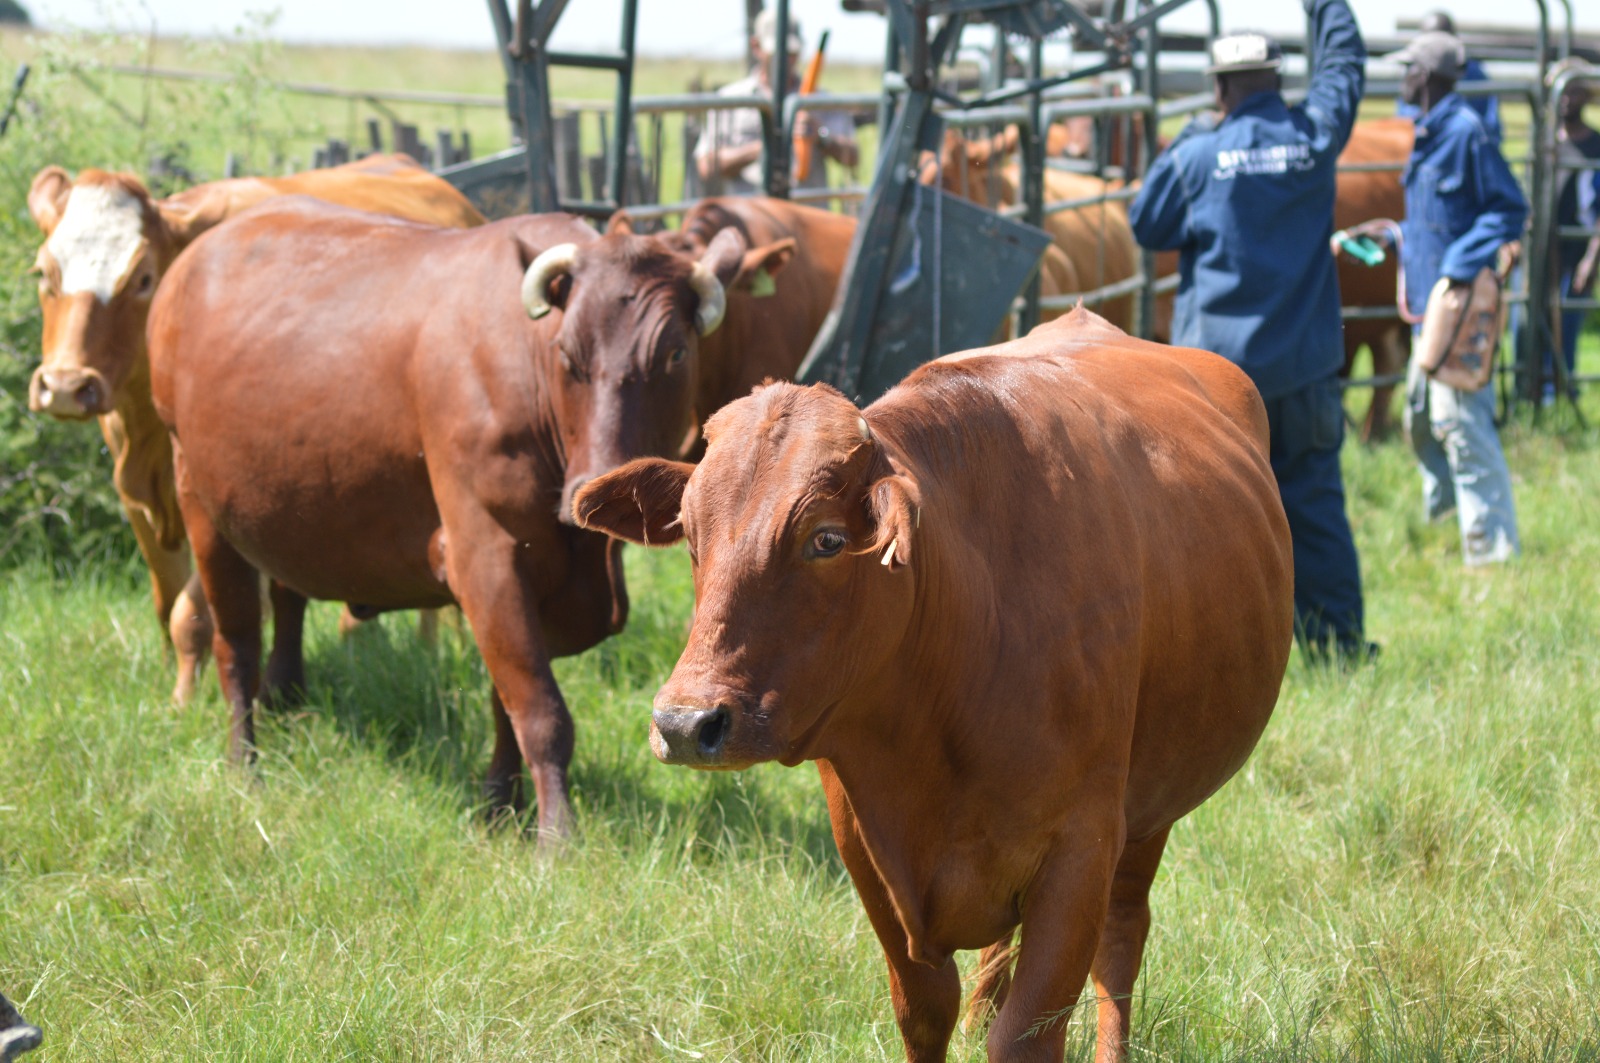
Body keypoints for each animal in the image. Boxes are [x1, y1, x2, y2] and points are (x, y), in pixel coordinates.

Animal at [25, 155, 486, 704]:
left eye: (142, 278)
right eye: (44, 273)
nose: (66, 386)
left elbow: (191, 615)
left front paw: (186, 700)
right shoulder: (137, 497)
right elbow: (165, 602)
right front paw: (174, 682)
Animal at [148, 196, 767, 841]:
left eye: (675, 353)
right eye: (567, 355)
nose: (588, 484)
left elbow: (506, 700)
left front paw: (498, 805)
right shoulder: (484, 557)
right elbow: (541, 712)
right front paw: (557, 837)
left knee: (286, 598)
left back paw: (284, 697)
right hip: (198, 500)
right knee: (236, 642)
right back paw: (244, 764)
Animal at [574, 305, 1294, 1062]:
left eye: (827, 539)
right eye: (690, 535)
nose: (686, 723)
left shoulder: (1084, 847)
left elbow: (1029, 1030)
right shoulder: (864, 845)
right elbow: (923, 1009)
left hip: (1152, 805)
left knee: (1122, 941)